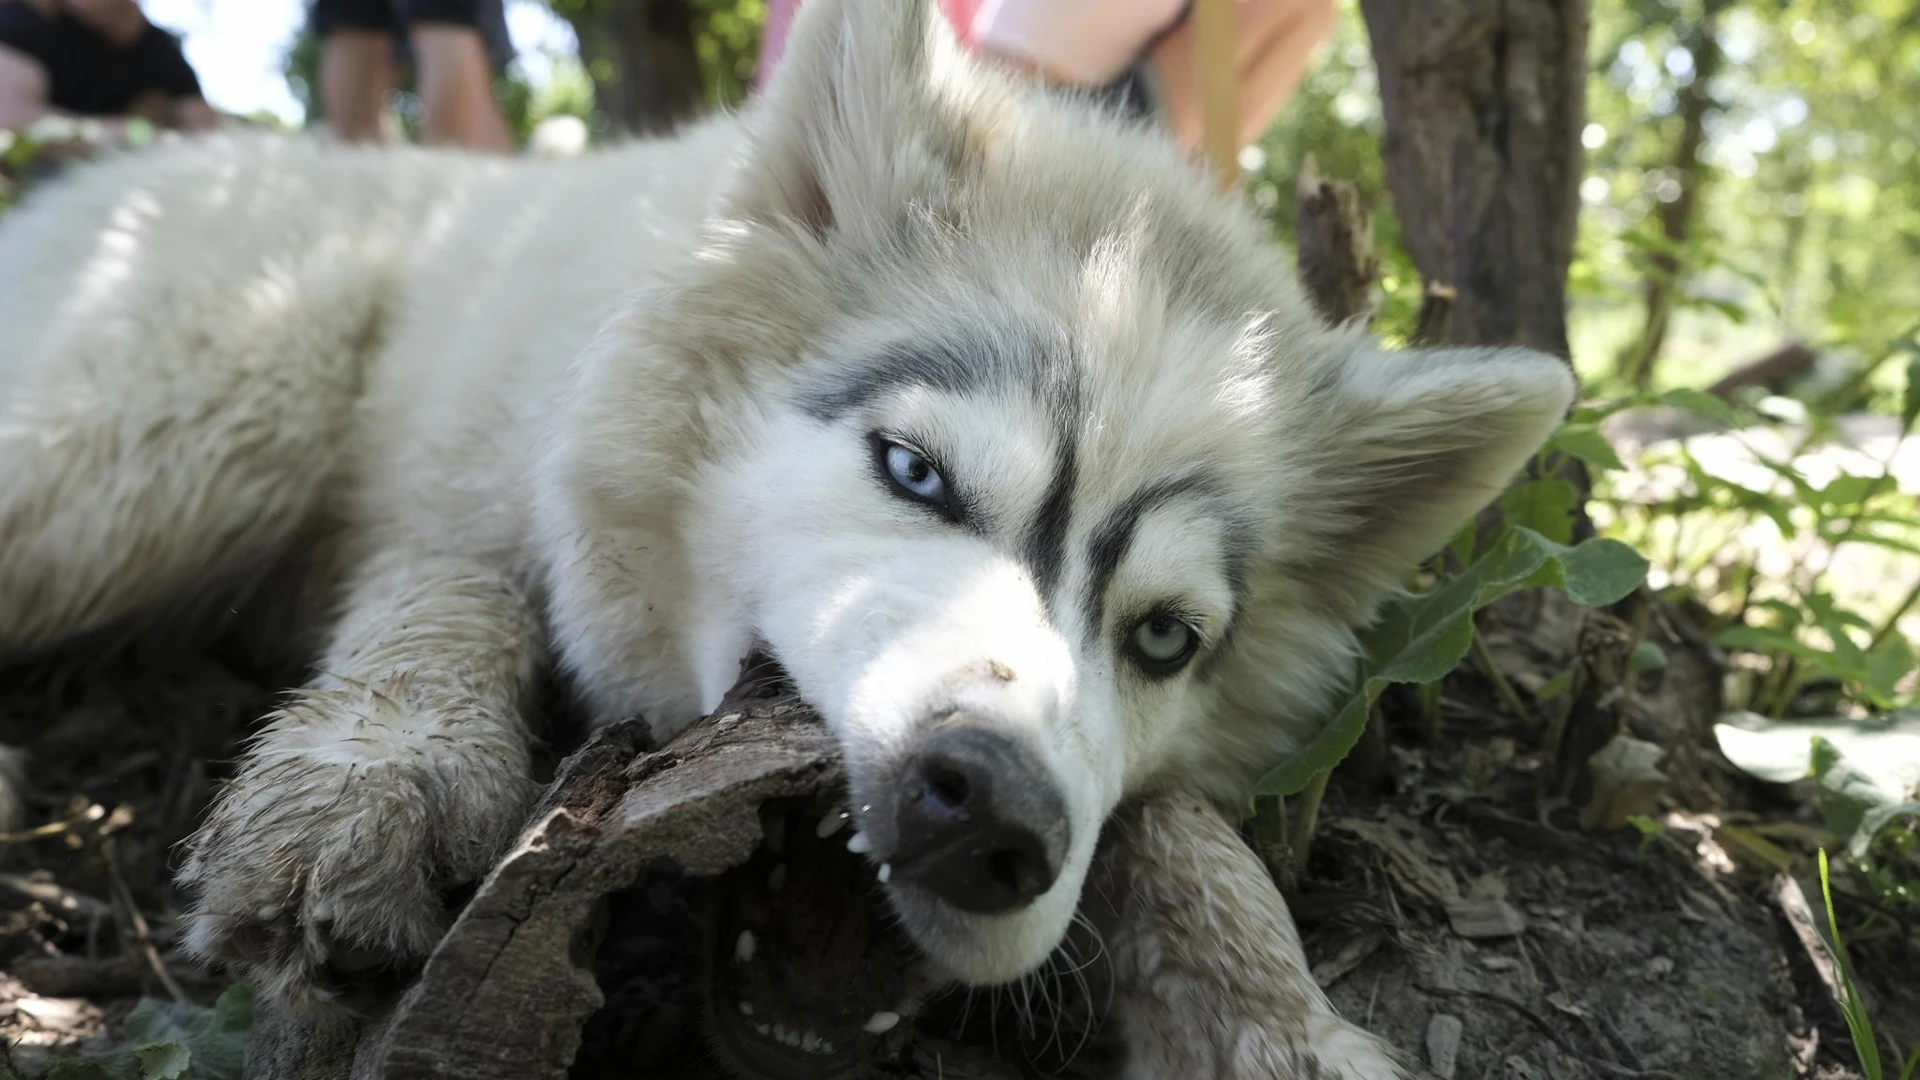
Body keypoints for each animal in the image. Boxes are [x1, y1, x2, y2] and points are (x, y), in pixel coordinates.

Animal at [0, 0, 1559, 1060]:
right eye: (917, 474)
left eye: (1167, 641)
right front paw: (378, 772)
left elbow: (1180, 828)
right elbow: (446, 596)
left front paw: (1274, 1015)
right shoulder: (442, 482)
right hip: (184, 427)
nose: (994, 817)